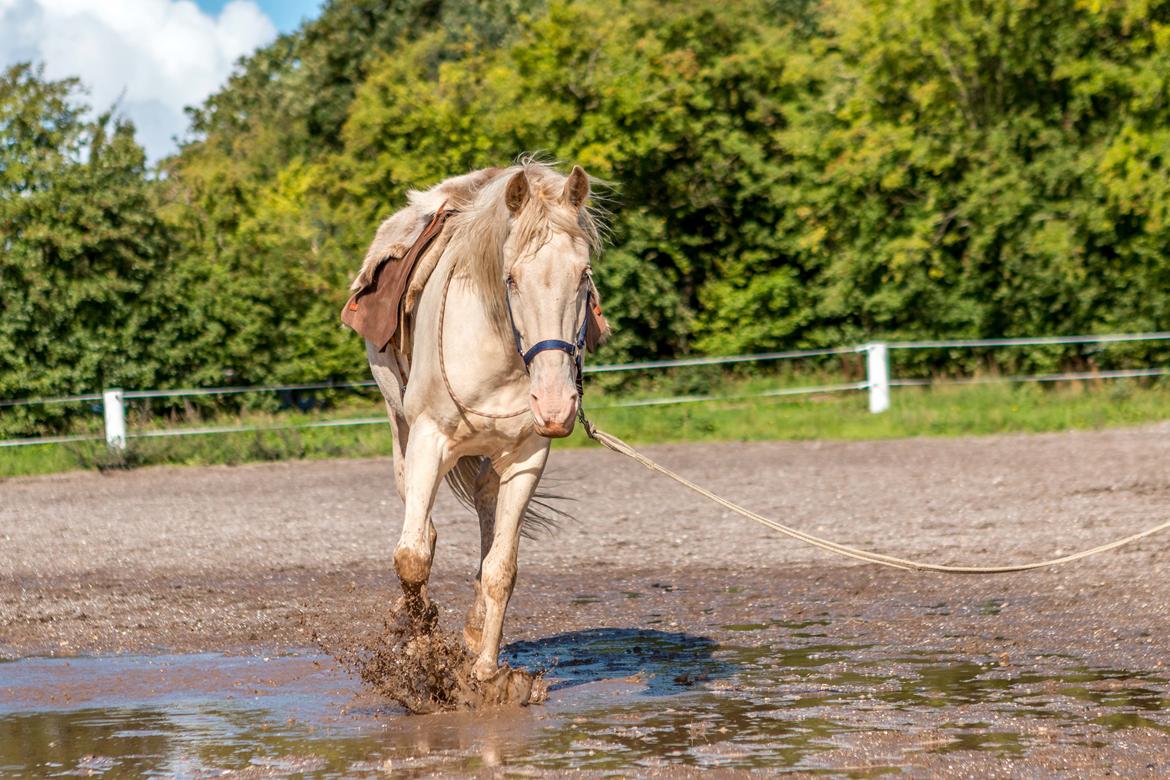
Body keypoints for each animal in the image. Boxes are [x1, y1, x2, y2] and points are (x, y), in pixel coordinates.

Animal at [353, 160, 613, 682]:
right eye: (510, 278)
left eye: (584, 276)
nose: (556, 404)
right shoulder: (429, 439)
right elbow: (412, 557)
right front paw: (423, 657)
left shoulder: (528, 456)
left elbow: (500, 570)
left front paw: (487, 675)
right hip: (400, 426)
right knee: (423, 528)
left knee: (486, 508)